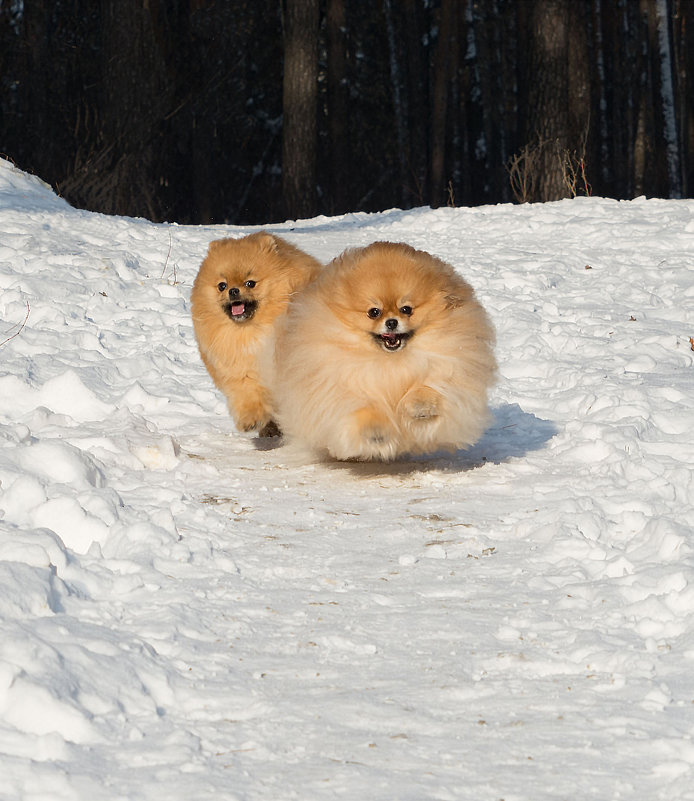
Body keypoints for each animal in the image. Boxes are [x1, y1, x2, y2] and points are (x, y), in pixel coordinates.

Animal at [190, 228, 320, 434]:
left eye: (250, 283)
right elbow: (248, 395)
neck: (250, 331)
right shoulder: (239, 370)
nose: (233, 291)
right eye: (222, 286)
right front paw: (251, 420)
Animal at [270, 241, 498, 460]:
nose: (391, 322)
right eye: (374, 312)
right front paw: (376, 432)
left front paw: (420, 407)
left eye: (406, 309)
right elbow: (365, 409)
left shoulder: (449, 366)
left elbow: (429, 387)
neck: (390, 362)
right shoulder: (341, 386)